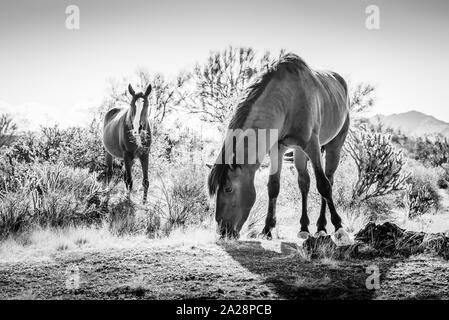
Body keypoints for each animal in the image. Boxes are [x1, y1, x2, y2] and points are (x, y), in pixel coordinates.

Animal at [206, 53, 350, 244]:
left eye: (228, 189)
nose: (223, 232)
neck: (288, 102)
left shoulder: (312, 145)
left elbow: (324, 186)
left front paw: (339, 228)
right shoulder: (277, 148)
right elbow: (273, 186)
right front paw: (267, 229)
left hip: (334, 146)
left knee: (329, 179)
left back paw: (321, 227)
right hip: (298, 151)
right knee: (304, 183)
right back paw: (304, 228)